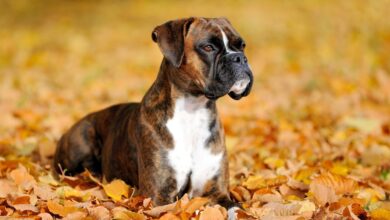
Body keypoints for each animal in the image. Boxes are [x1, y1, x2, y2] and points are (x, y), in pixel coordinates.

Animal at [54, 16, 253, 218]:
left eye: (242, 45)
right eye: (208, 47)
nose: (239, 57)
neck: (193, 110)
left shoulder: (217, 193)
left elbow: (238, 210)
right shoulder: (159, 197)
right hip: (83, 137)